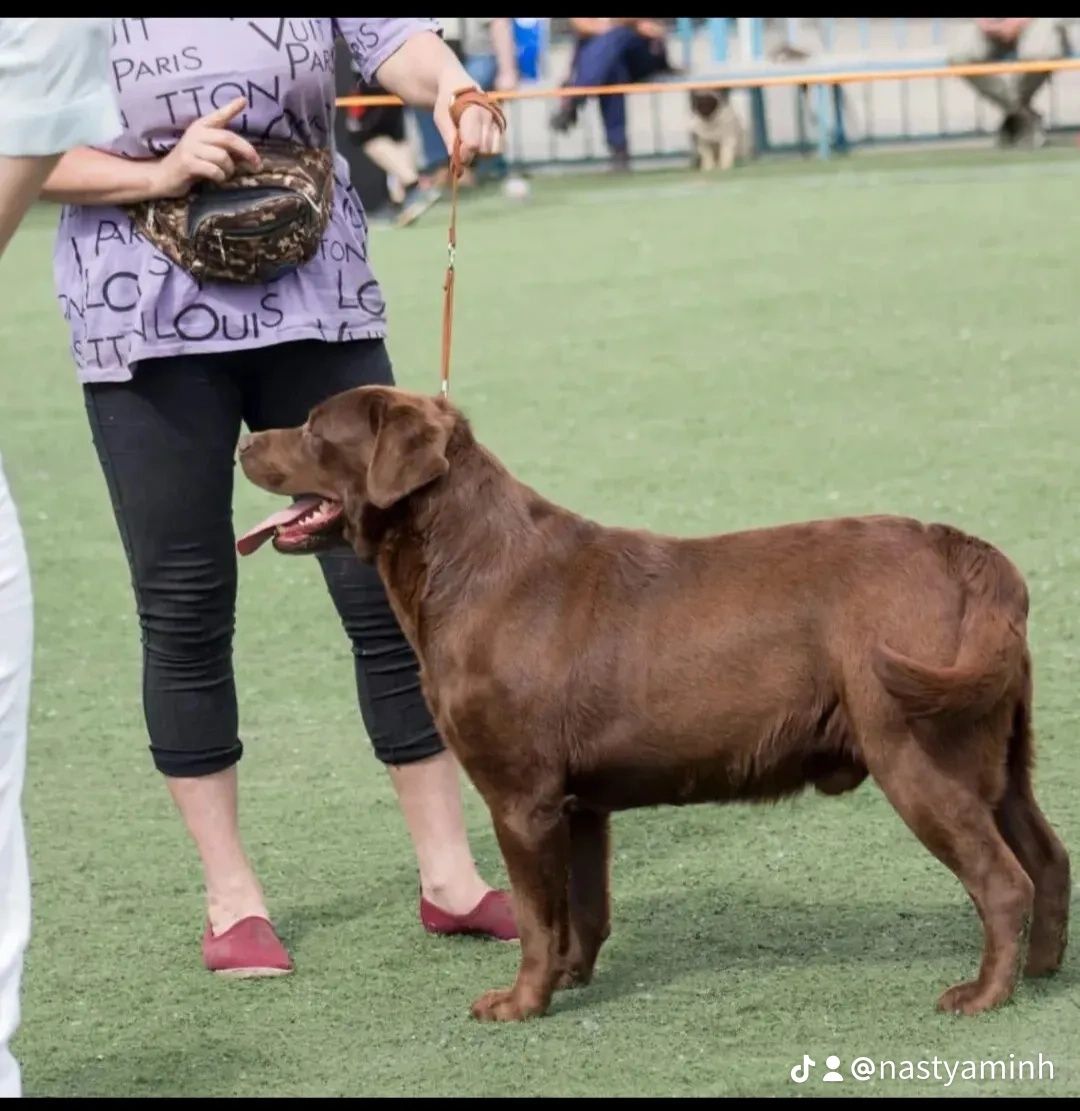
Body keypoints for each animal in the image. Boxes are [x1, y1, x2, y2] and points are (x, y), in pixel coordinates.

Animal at [238, 384, 1071, 1022]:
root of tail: (971, 557)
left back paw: (982, 994)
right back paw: (1042, 969)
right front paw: (571, 980)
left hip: (917, 752)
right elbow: (583, 906)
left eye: (314, 428)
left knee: (1004, 880)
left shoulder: (520, 796)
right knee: (1048, 855)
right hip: (997, 748)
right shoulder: (578, 804)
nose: (244, 445)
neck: (468, 564)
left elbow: (537, 915)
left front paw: (519, 1003)